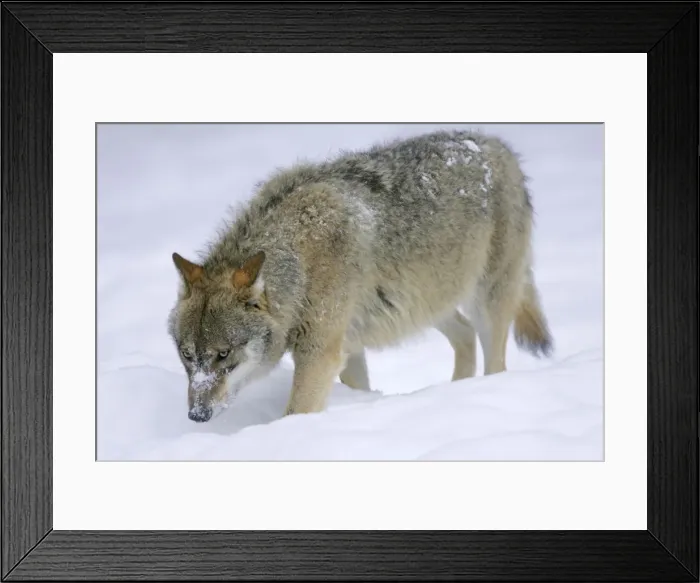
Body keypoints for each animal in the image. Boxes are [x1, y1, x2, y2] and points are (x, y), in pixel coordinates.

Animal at [168, 128, 553, 423]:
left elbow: (295, 412)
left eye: (223, 354)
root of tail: (498, 145)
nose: (197, 416)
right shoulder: (347, 349)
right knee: (464, 333)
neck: (299, 261)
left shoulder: (320, 353)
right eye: (187, 355)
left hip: (485, 301)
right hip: (424, 306)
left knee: (494, 360)